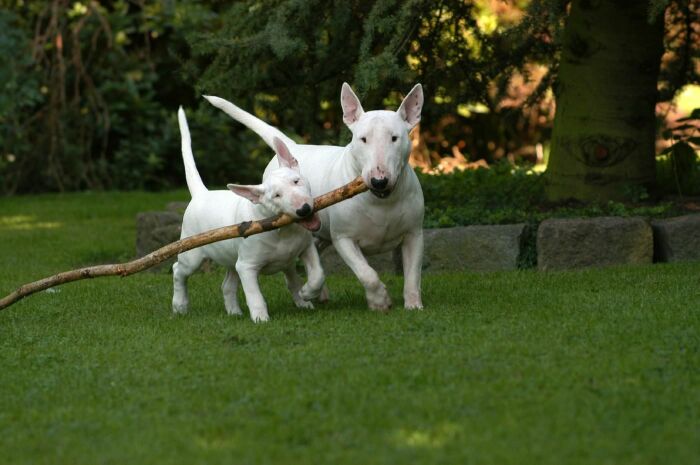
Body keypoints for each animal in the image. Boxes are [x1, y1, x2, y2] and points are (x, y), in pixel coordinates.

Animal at [172, 106, 326, 320]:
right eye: (276, 196)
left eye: (296, 181)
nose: (304, 209)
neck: (282, 230)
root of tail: (201, 194)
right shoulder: (247, 266)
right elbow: (255, 294)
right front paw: (261, 319)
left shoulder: (306, 248)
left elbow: (317, 274)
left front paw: (306, 294)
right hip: (192, 254)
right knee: (178, 270)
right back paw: (180, 305)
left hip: (231, 258)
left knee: (227, 285)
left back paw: (235, 312)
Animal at [205, 84, 424, 312]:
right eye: (363, 139)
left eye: (394, 138)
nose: (378, 181)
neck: (381, 201)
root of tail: (292, 146)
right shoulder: (343, 238)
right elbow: (367, 274)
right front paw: (380, 301)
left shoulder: (415, 234)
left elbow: (413, 273)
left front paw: (413, 305)